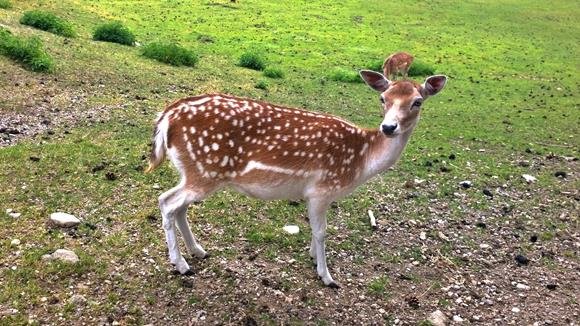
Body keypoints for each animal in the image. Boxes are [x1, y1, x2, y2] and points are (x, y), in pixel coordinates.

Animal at [145, 69, 448, 288]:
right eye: (382, 98)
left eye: (417, 101)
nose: (388, 127)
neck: (360, 162)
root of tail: (166, 116)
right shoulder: (321, 188)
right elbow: (322, 231)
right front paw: (327, 276)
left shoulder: (318, 194)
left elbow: (316, 231)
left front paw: (313, 258)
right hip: (205, 171)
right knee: (166, 202)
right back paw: (181, 265)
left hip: (192, 171)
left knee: (177, 206)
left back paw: (198, 251)